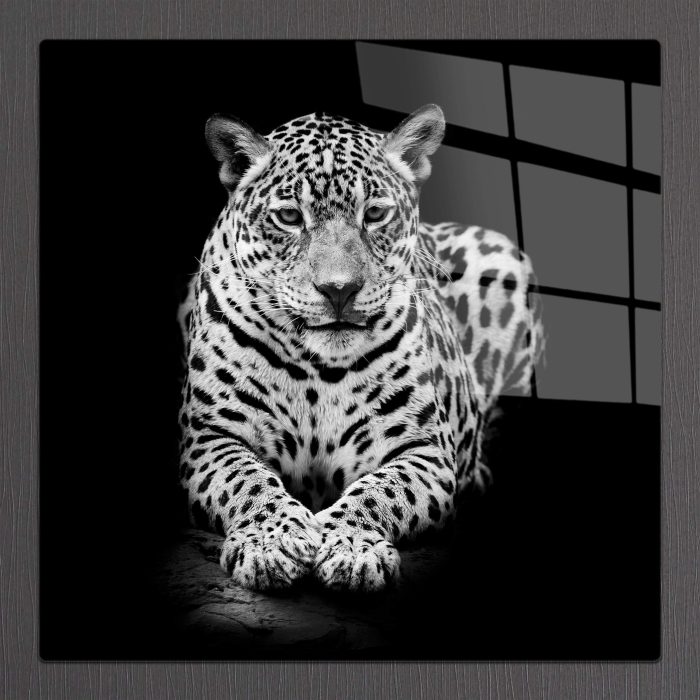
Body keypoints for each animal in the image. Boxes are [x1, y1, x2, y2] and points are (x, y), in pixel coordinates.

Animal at [177, 104, 544, 593]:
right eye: (289, 217)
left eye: (374, 213)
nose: (339, 290)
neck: (316, 369)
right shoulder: (209, 437)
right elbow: (248, 482)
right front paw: (272, 541)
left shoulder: (423, 448)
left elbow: (382, 490)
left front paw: (351, 547)